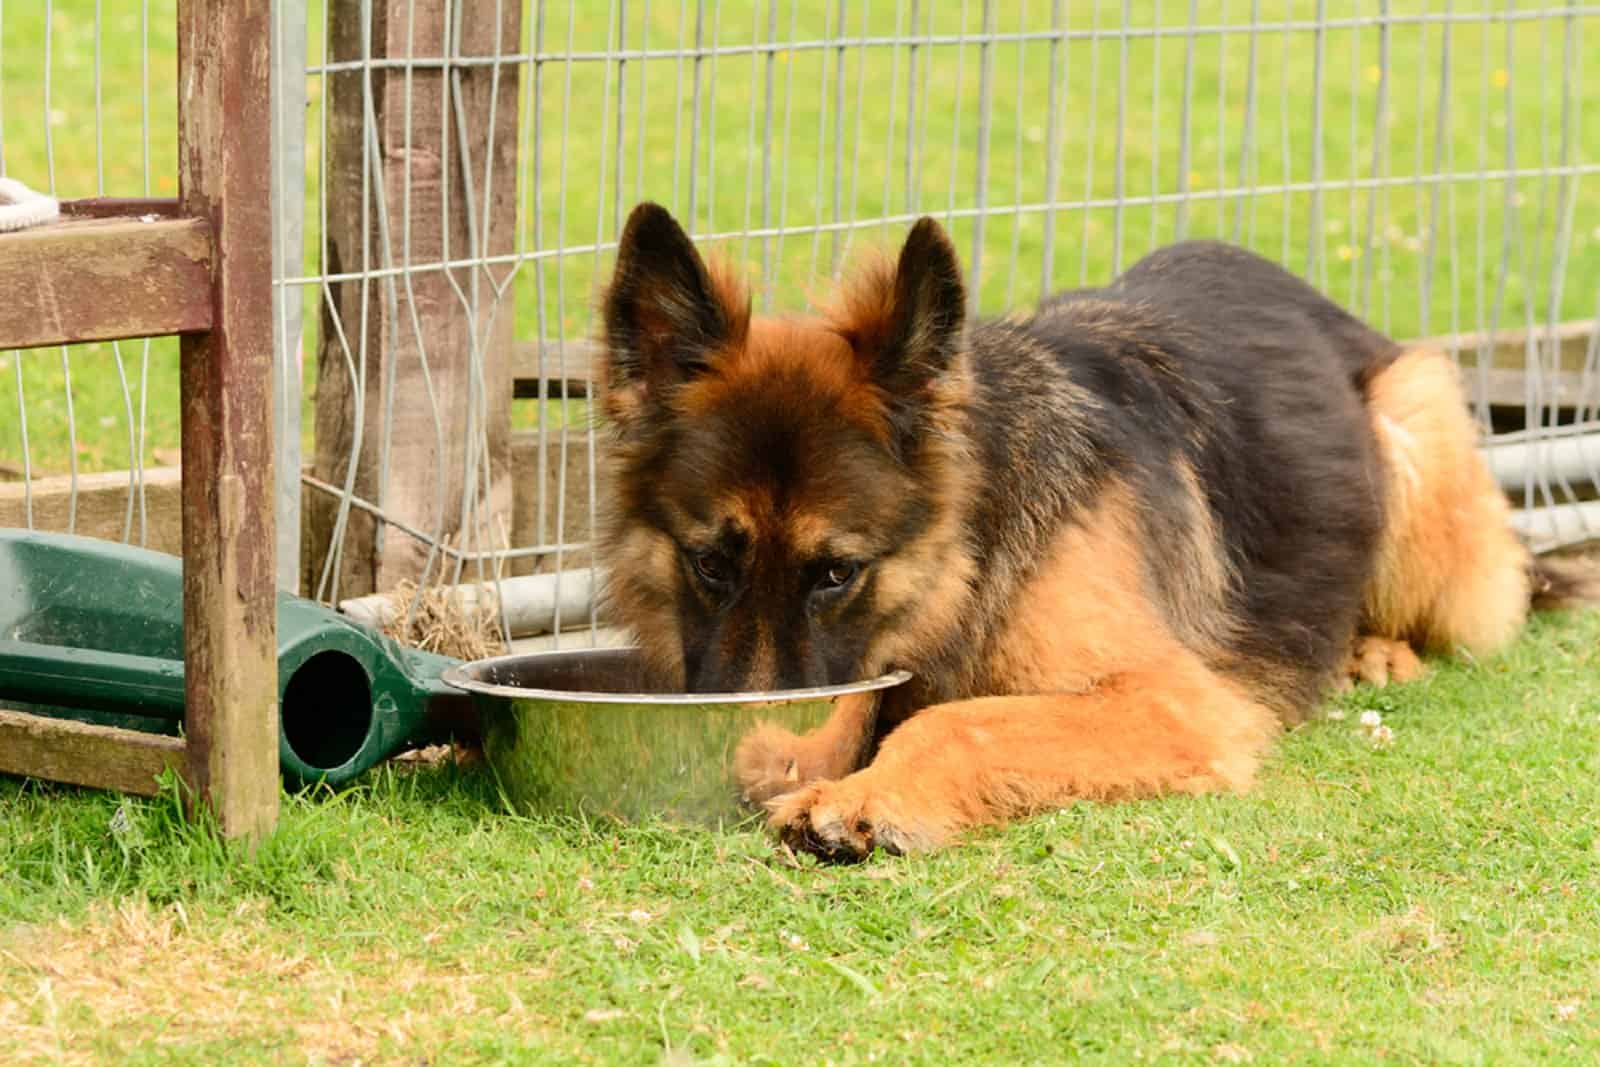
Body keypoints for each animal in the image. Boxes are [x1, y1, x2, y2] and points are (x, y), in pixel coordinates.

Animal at [598, 199, 1587, 863]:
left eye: (837, 572)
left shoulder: (1173, 701)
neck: (975, 546)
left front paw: (862, 789)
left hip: (1411, 425)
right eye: (708, 562)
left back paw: (1377, 651)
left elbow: (961, 720)